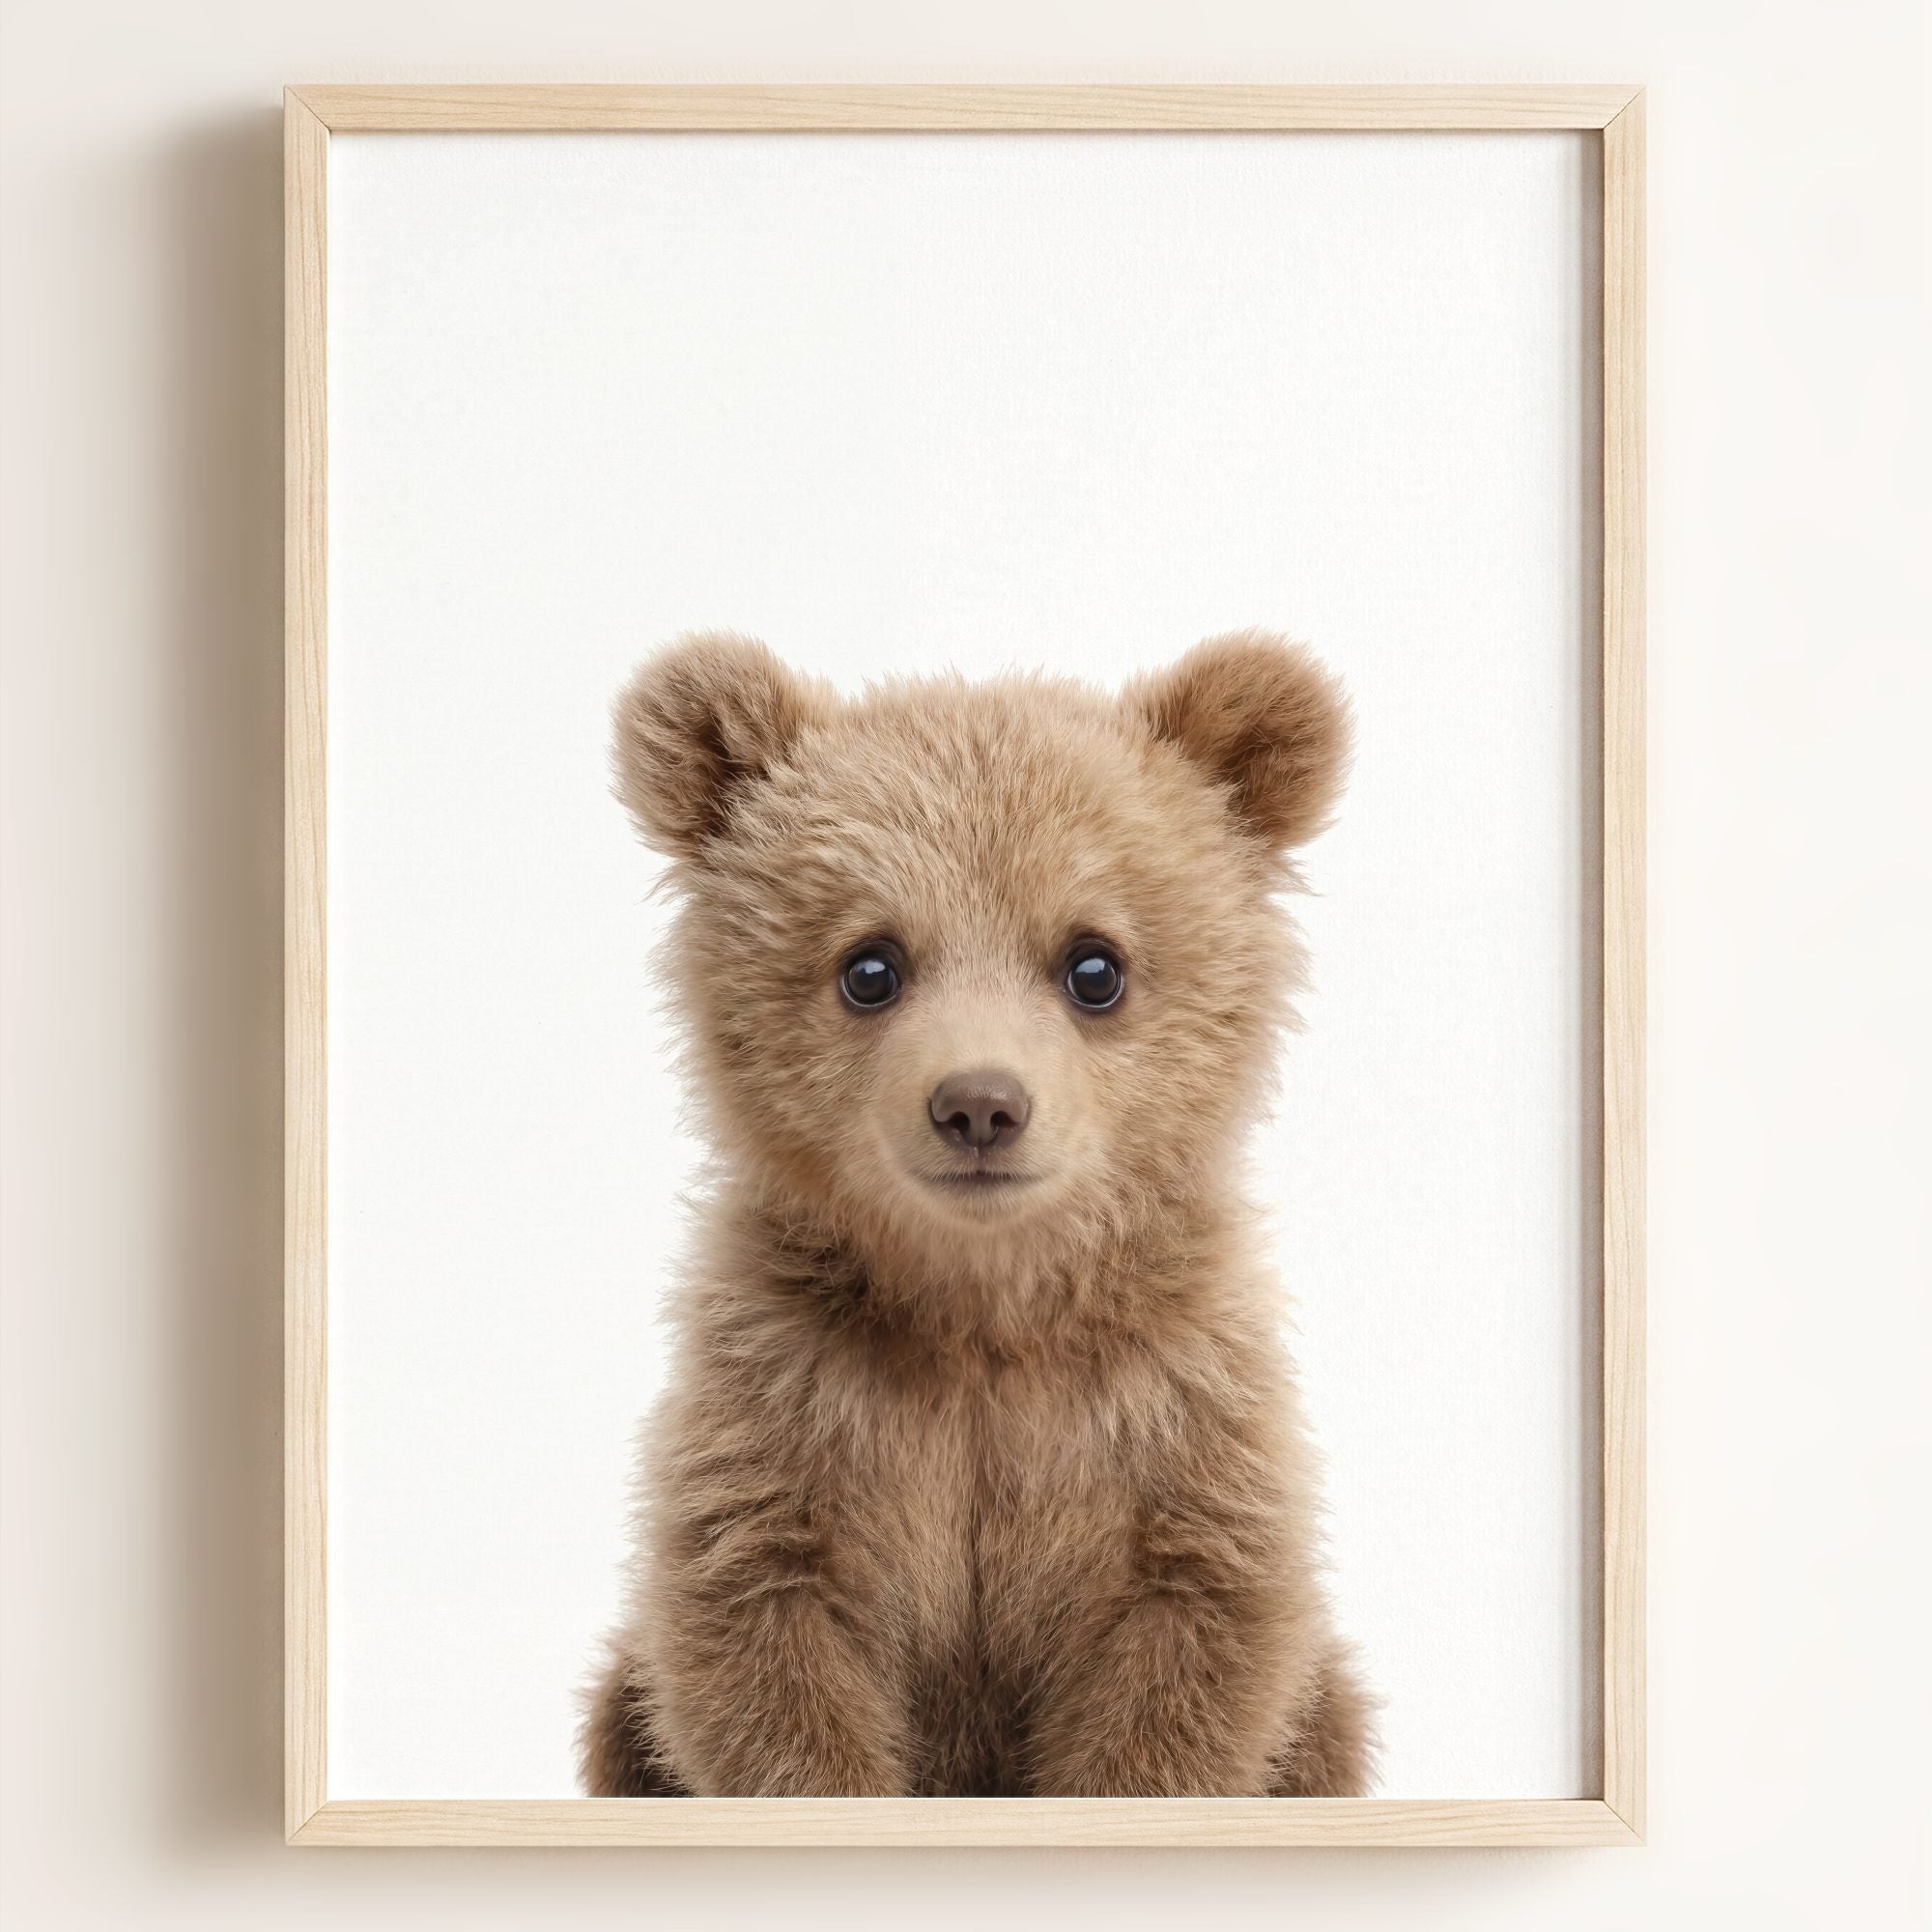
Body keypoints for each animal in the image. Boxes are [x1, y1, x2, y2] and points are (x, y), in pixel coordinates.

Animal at [580, 628, 1375, 1799]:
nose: (979, 1104)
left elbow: (1188, 1648)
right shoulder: (788, 1403)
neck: (982, 1304)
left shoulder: (1171, 1414)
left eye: (1094, 964)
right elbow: (762, 1640)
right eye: (870, 965)